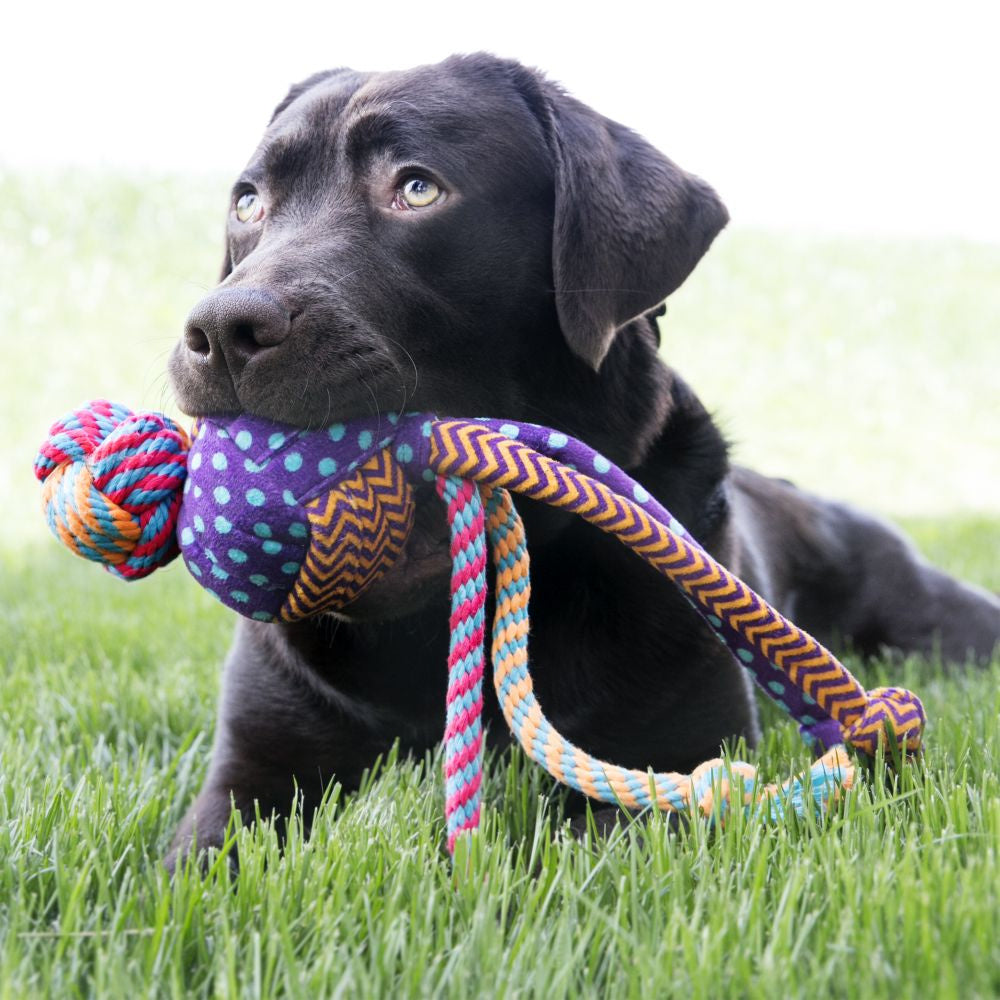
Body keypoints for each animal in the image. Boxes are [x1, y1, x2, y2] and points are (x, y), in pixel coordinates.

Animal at [166, 54, 1000, 868]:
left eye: (417, 187)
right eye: (249, 203)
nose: (222, 329)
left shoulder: (676, 767)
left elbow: (570, 854)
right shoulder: (249, 774)